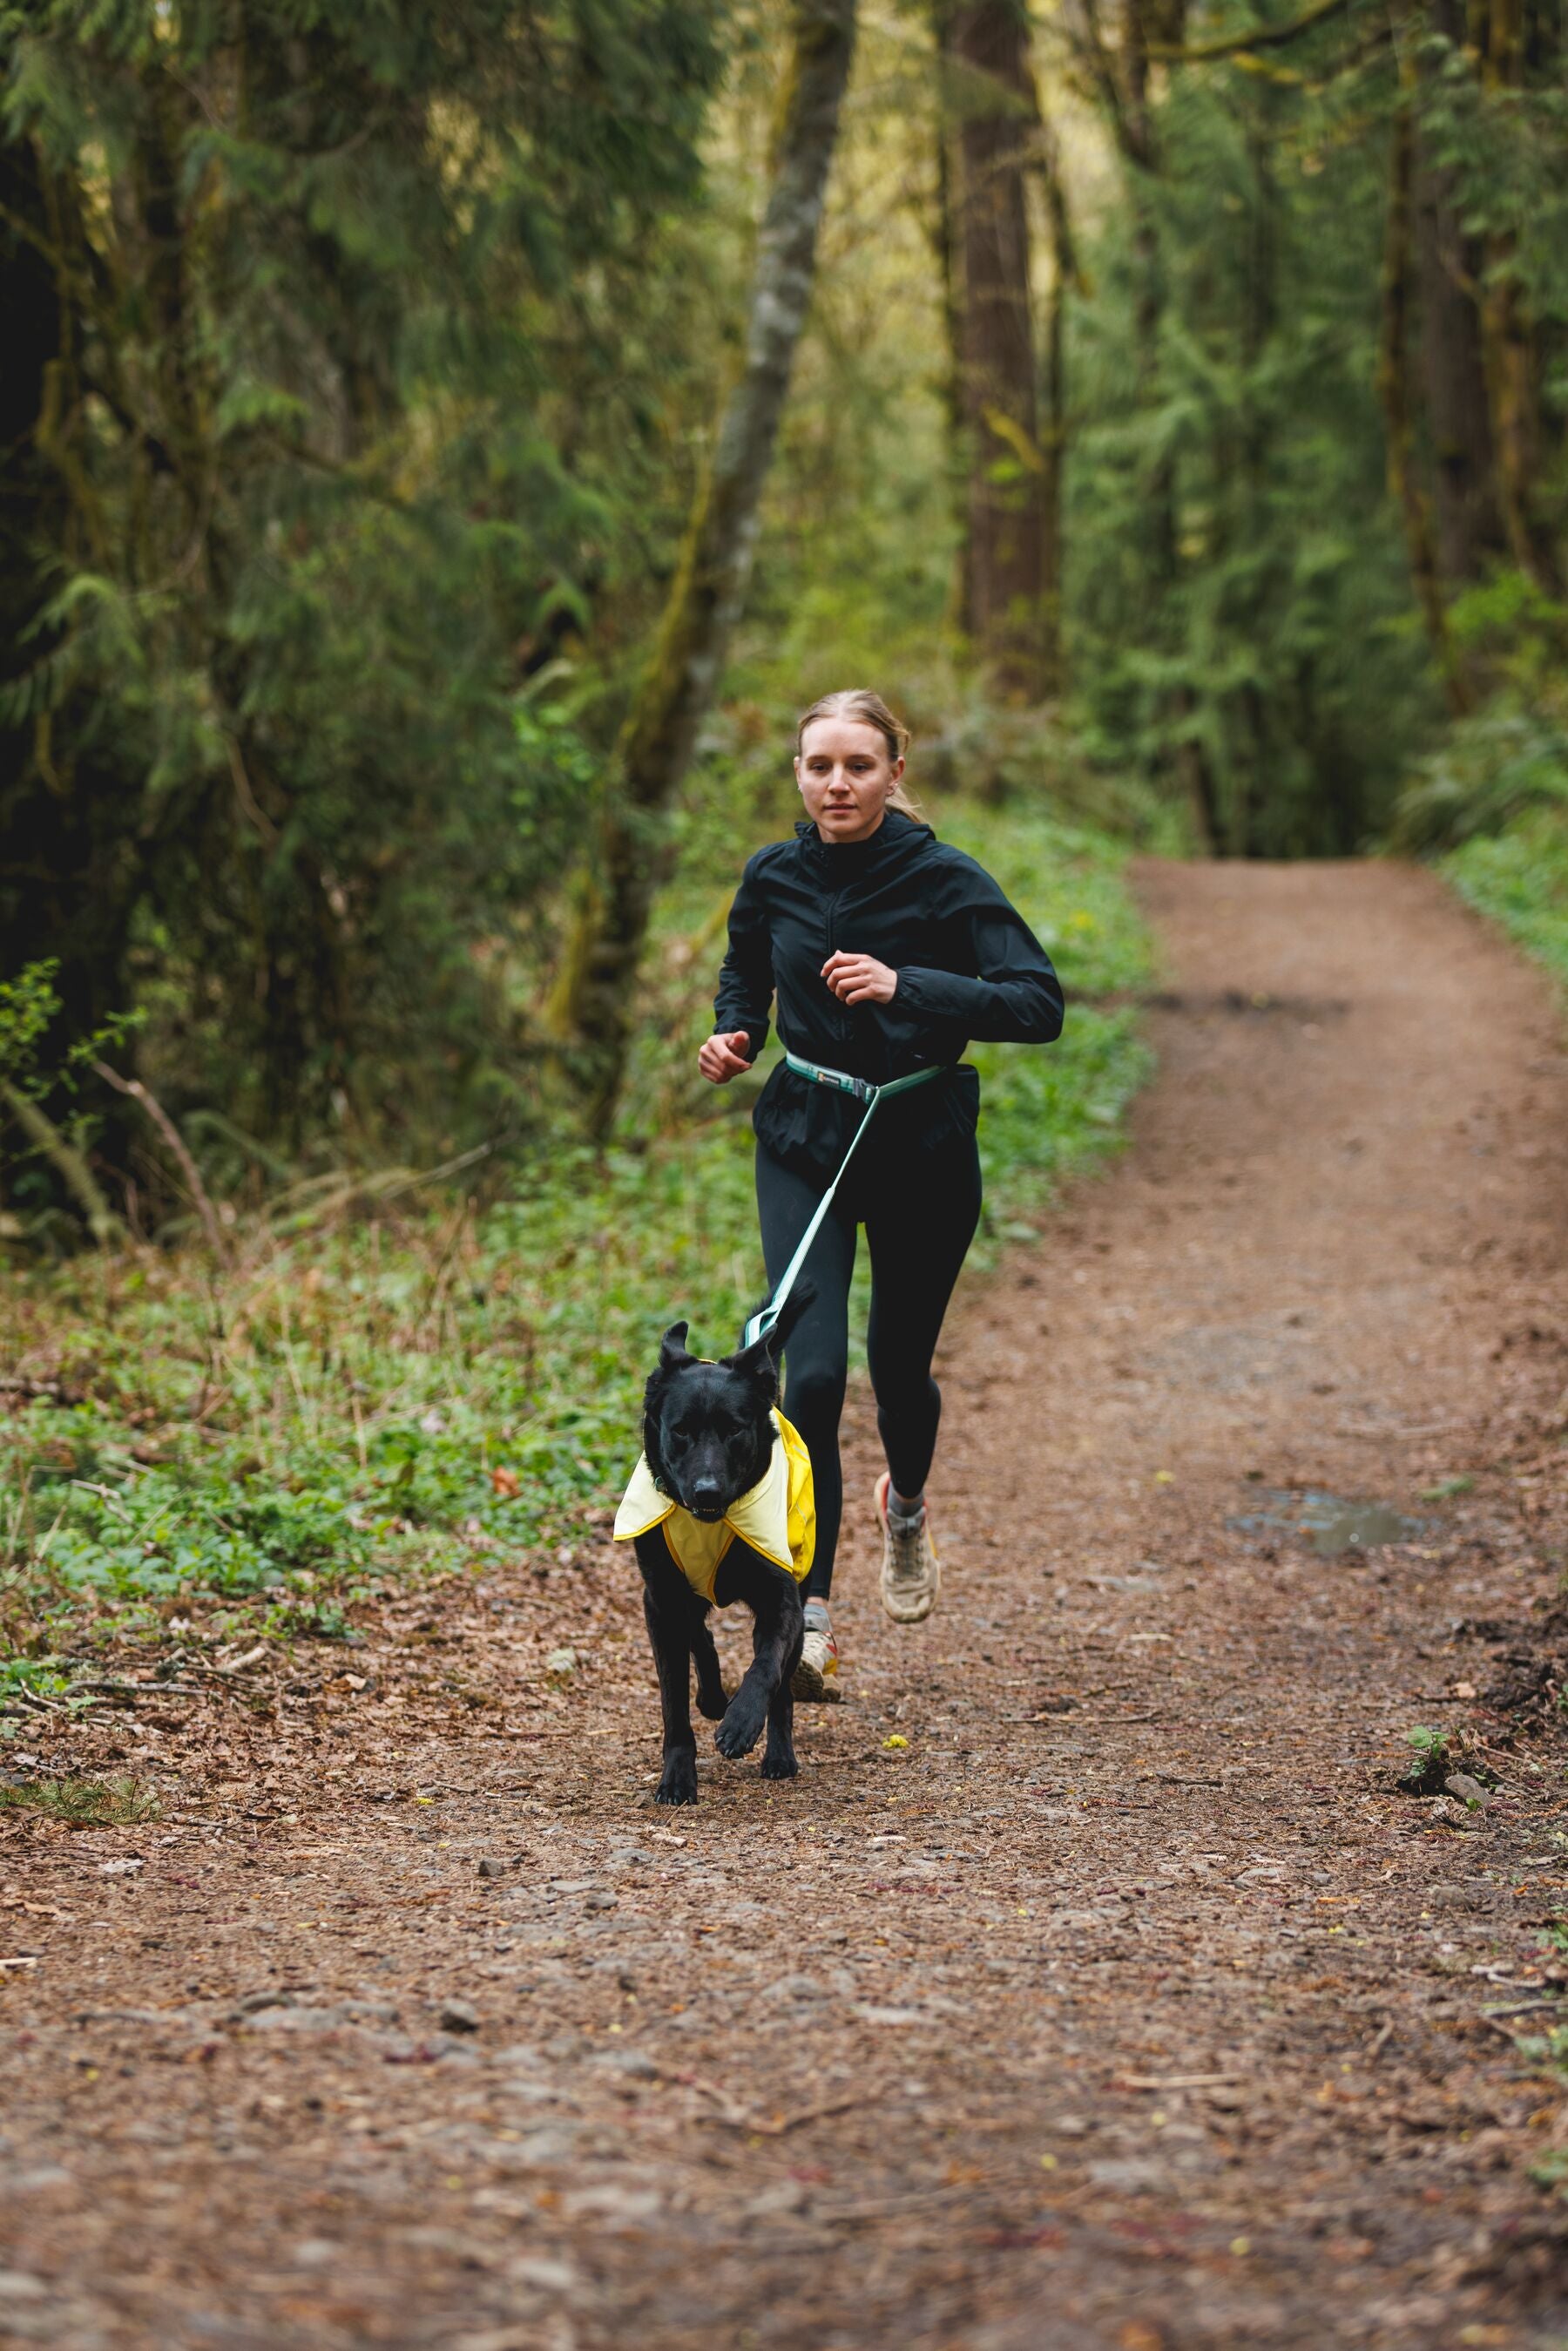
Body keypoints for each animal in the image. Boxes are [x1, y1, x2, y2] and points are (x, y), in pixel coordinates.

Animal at [630, 1297, 818, 1806]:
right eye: (680, 1430)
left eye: (734, 1429)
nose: (707, 1490)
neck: (709, 1527)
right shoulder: (661, 1602)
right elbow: (674, 1704)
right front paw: (677, 1778)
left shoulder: (781, 1600)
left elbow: (766, 1666)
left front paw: (740, 1723)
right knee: (700, 1637)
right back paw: (712, 1698)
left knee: (783, 1687)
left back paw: (779, 1755)